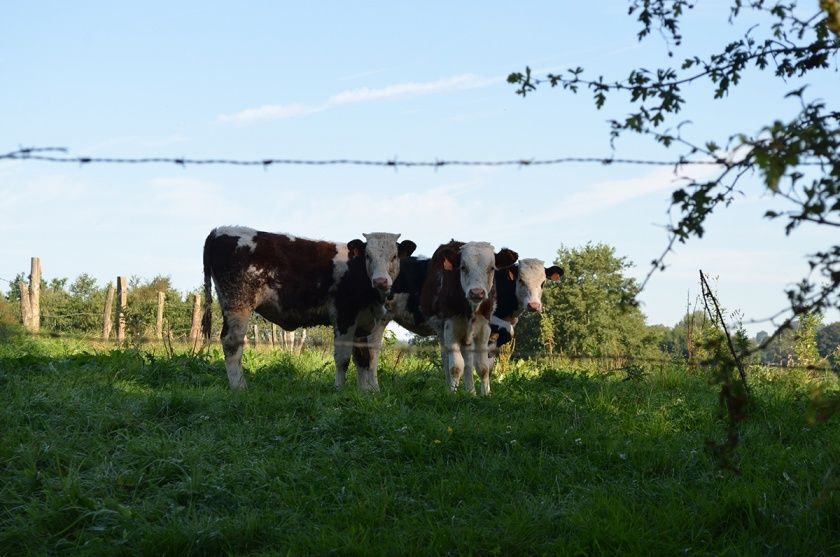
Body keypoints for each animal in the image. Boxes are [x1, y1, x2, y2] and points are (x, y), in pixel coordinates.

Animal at [201, 226, 416, 390]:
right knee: (232, 342)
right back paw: (239, 387)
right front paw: (339, 390)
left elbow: (363, 359)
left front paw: (366, 393)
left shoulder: (364, 323)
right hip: (238, 304)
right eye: (368, 256)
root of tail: (219, 231)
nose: (381, 281)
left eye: (394, 256)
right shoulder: (344, 316)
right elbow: (343, 358)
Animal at [420, 241, 520, 394]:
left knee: (468, 361)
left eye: (492, 268)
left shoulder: (484, 328)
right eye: (463, 267)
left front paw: (486, 394)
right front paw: (451, 394)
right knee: (446, 359)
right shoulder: (450, 327)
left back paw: (470, 392)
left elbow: (483, 367)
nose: (476, 292)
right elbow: (455, 367)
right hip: (441, 330)